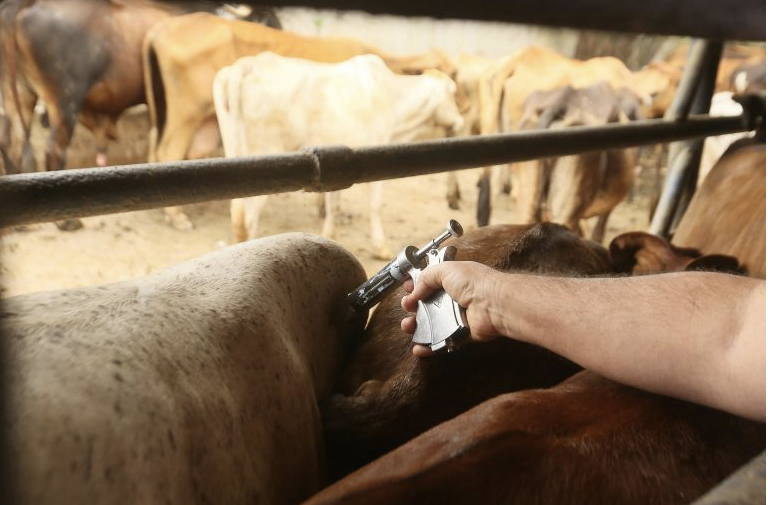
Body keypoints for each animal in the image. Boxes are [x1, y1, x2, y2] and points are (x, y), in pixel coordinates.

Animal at [212, 52, 462, 260]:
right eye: (453, 94)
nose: (460, 121)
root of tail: (247, 64)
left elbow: (333, 204)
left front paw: (329, 236)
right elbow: (376, 205)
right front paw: (380, 247)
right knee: (249, 219)